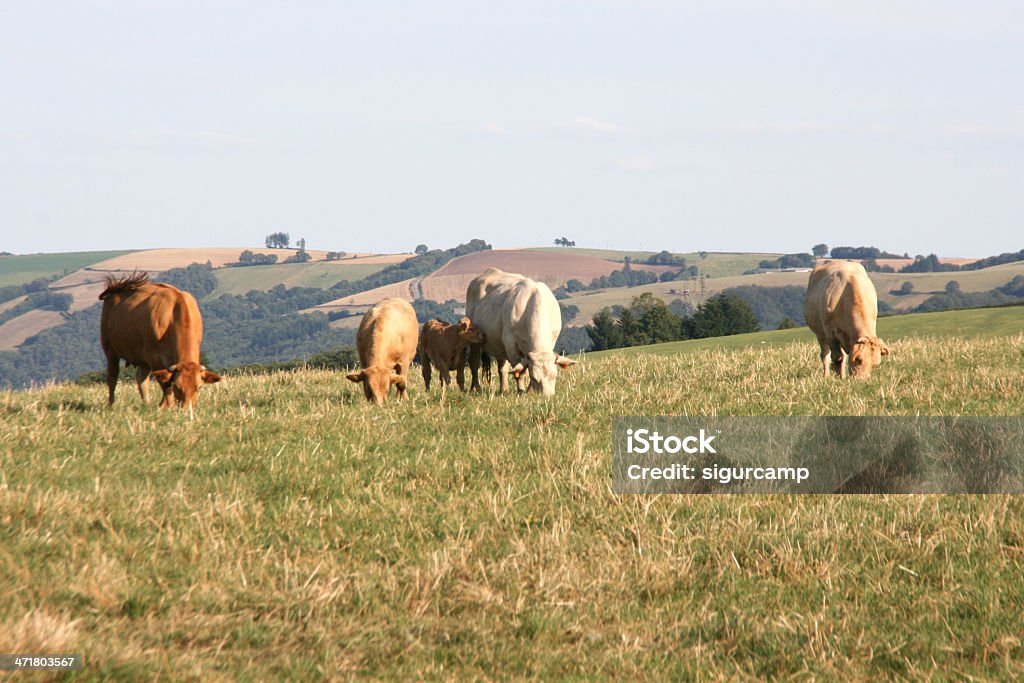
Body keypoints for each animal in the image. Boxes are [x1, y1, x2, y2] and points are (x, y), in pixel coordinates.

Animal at [98, 272, 221, 411]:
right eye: (177, 386)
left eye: (198, 388)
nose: (186, 410)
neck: (173, 315)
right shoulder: (154, 357)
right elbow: (166, 384)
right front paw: (169, 407)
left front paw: (162, 406)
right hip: (109, 348)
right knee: (112, 377)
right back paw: (111, 405)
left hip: (142, 357)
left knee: (141, 378)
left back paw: (146, 404)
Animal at [464, 266, 577, 395]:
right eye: (535, 378)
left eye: (554, 376)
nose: (547, 396)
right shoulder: (511, 344)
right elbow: (520, 371)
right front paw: (522, 391)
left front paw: (530, 391)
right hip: (474, 341)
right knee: (474, 364)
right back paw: (475, 388)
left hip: (499, 344)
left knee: (502, 368)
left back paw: (504, 389)